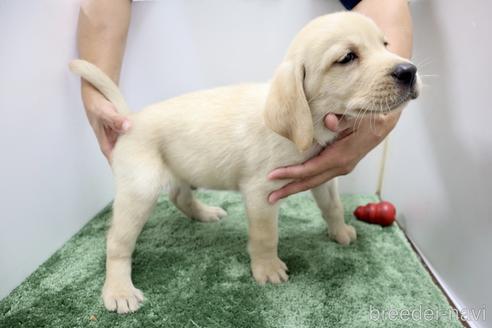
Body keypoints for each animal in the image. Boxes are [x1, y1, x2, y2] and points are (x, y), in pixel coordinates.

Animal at [71, 11, 420, 312]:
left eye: (385, 45)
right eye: (347, 57)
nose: (409, 71)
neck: (308, 123)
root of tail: (130, 120)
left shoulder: (324, 174)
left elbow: (332, 205)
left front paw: (340, 231)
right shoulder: (260, 192)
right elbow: (266, 236)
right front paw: (267, 269)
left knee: (180, 196)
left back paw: (205, 213)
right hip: (140, 189)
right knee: (117, 242)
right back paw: (119, 290)